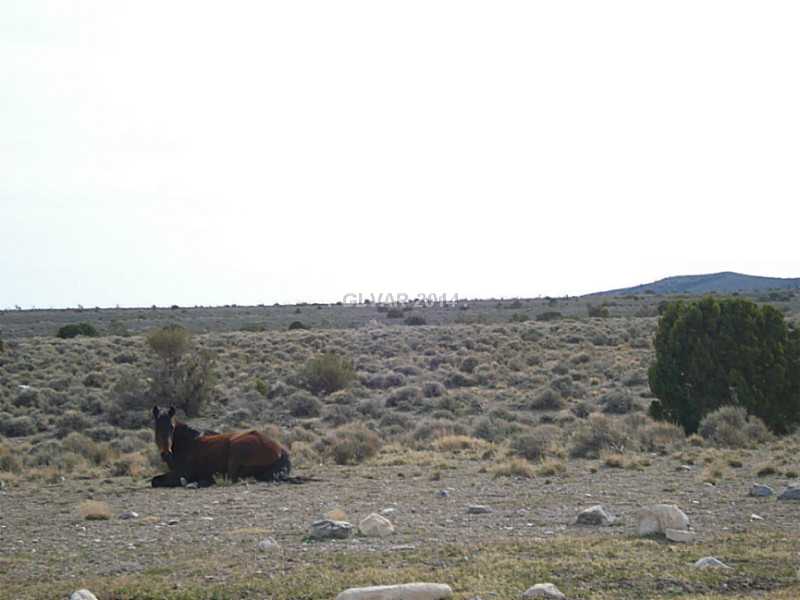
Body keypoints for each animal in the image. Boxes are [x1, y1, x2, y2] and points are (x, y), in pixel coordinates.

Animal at [150, 405, 291, 488]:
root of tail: (280, 450)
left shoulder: (181, 473)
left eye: (171, 427)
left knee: (232, 478)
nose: (166, 454)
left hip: (236, 450)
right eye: (156, 427)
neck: (186, 443)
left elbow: (156, 481)